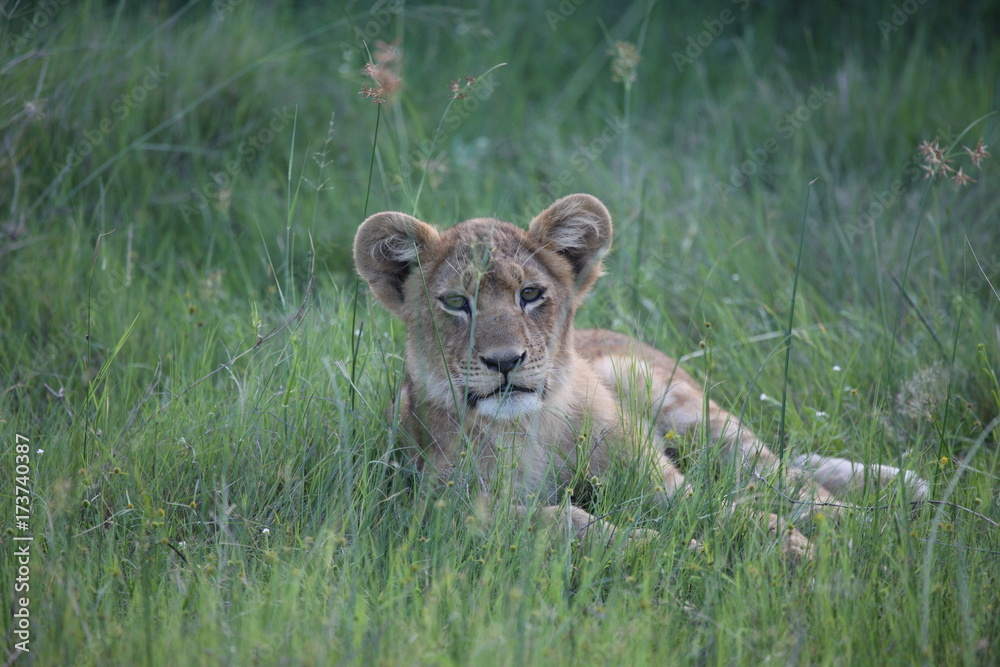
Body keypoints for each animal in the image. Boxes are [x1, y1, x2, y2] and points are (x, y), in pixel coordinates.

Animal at [354, 193, 928, 558]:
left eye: (530, 294)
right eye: (456, 303)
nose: (505, 361)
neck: (529, 426)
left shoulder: (657, 477)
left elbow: (718, 507)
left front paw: (790, 547)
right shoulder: (446, 512)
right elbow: (569, 523)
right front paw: (669, 550)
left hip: (683, 409)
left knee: (780, 475)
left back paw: (875, 516)